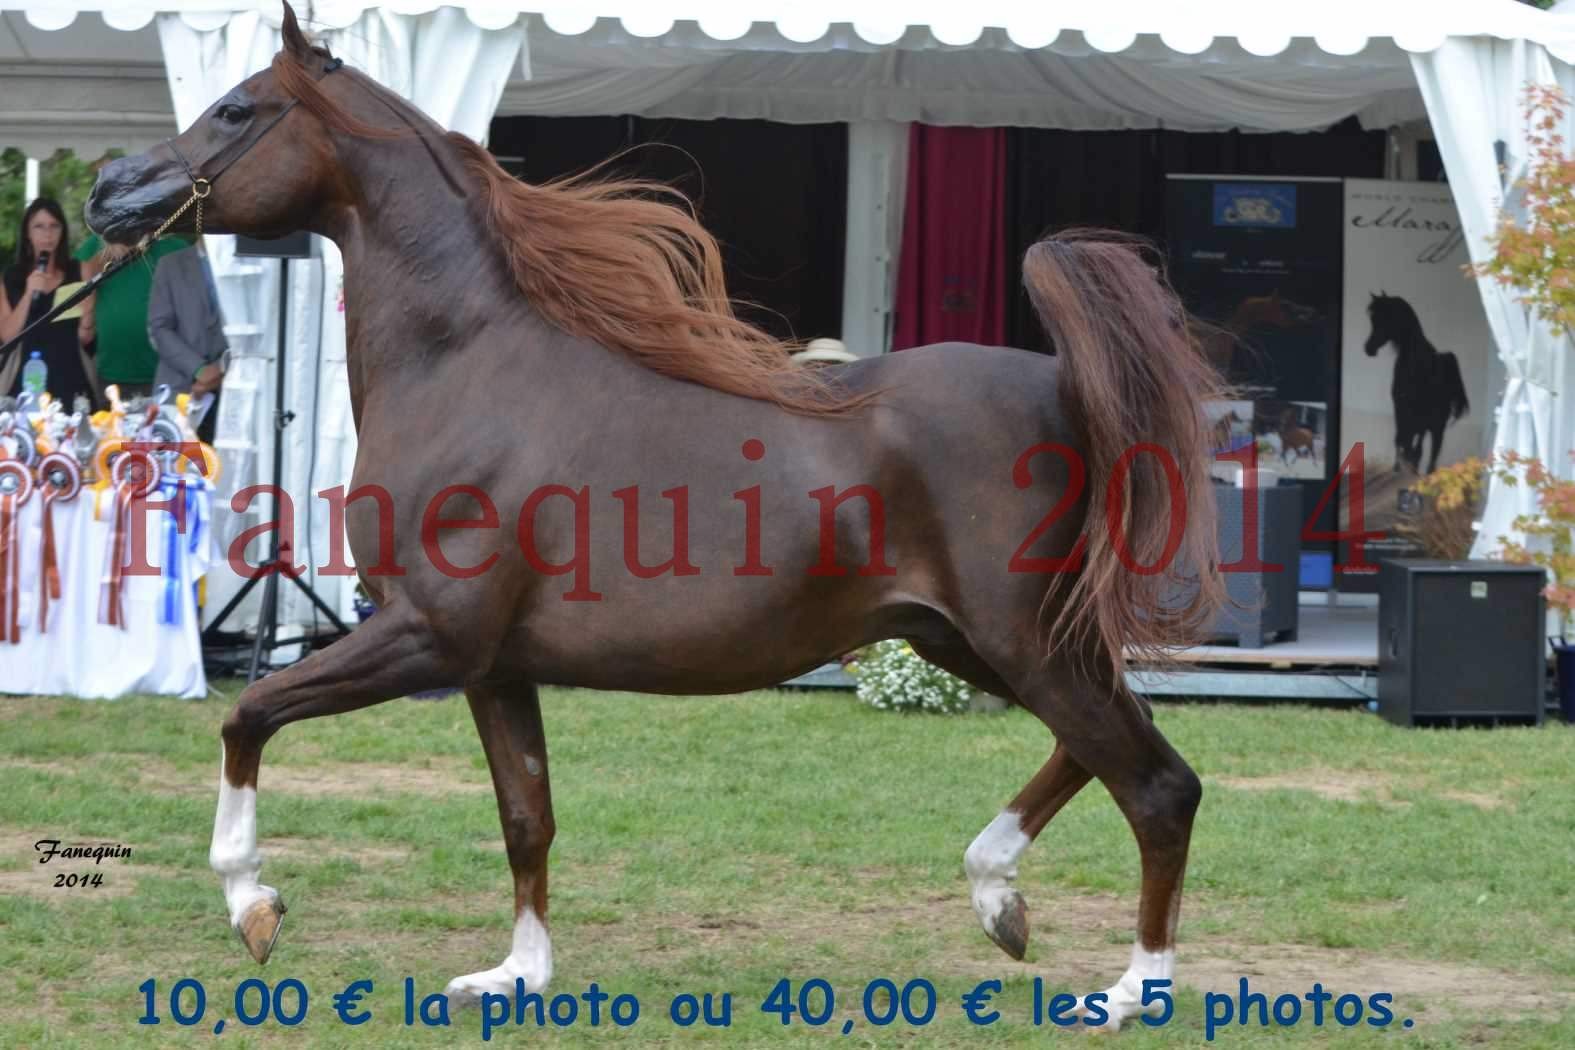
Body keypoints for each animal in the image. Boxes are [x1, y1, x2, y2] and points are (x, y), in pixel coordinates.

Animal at [83, 4, 1215, 1032]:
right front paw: (516, 976)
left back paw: (1132, 991)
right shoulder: (494, 667)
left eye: (238, 109)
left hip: (1022, 640)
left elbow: (249, 713)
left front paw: (252, 905)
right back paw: (998, 899)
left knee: (1157, 784)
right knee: (1109, 754)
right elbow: (526, 816)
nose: (106, 190)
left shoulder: (424, 637)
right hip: (971, 639)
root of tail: (1062, 384)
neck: (466, 370)